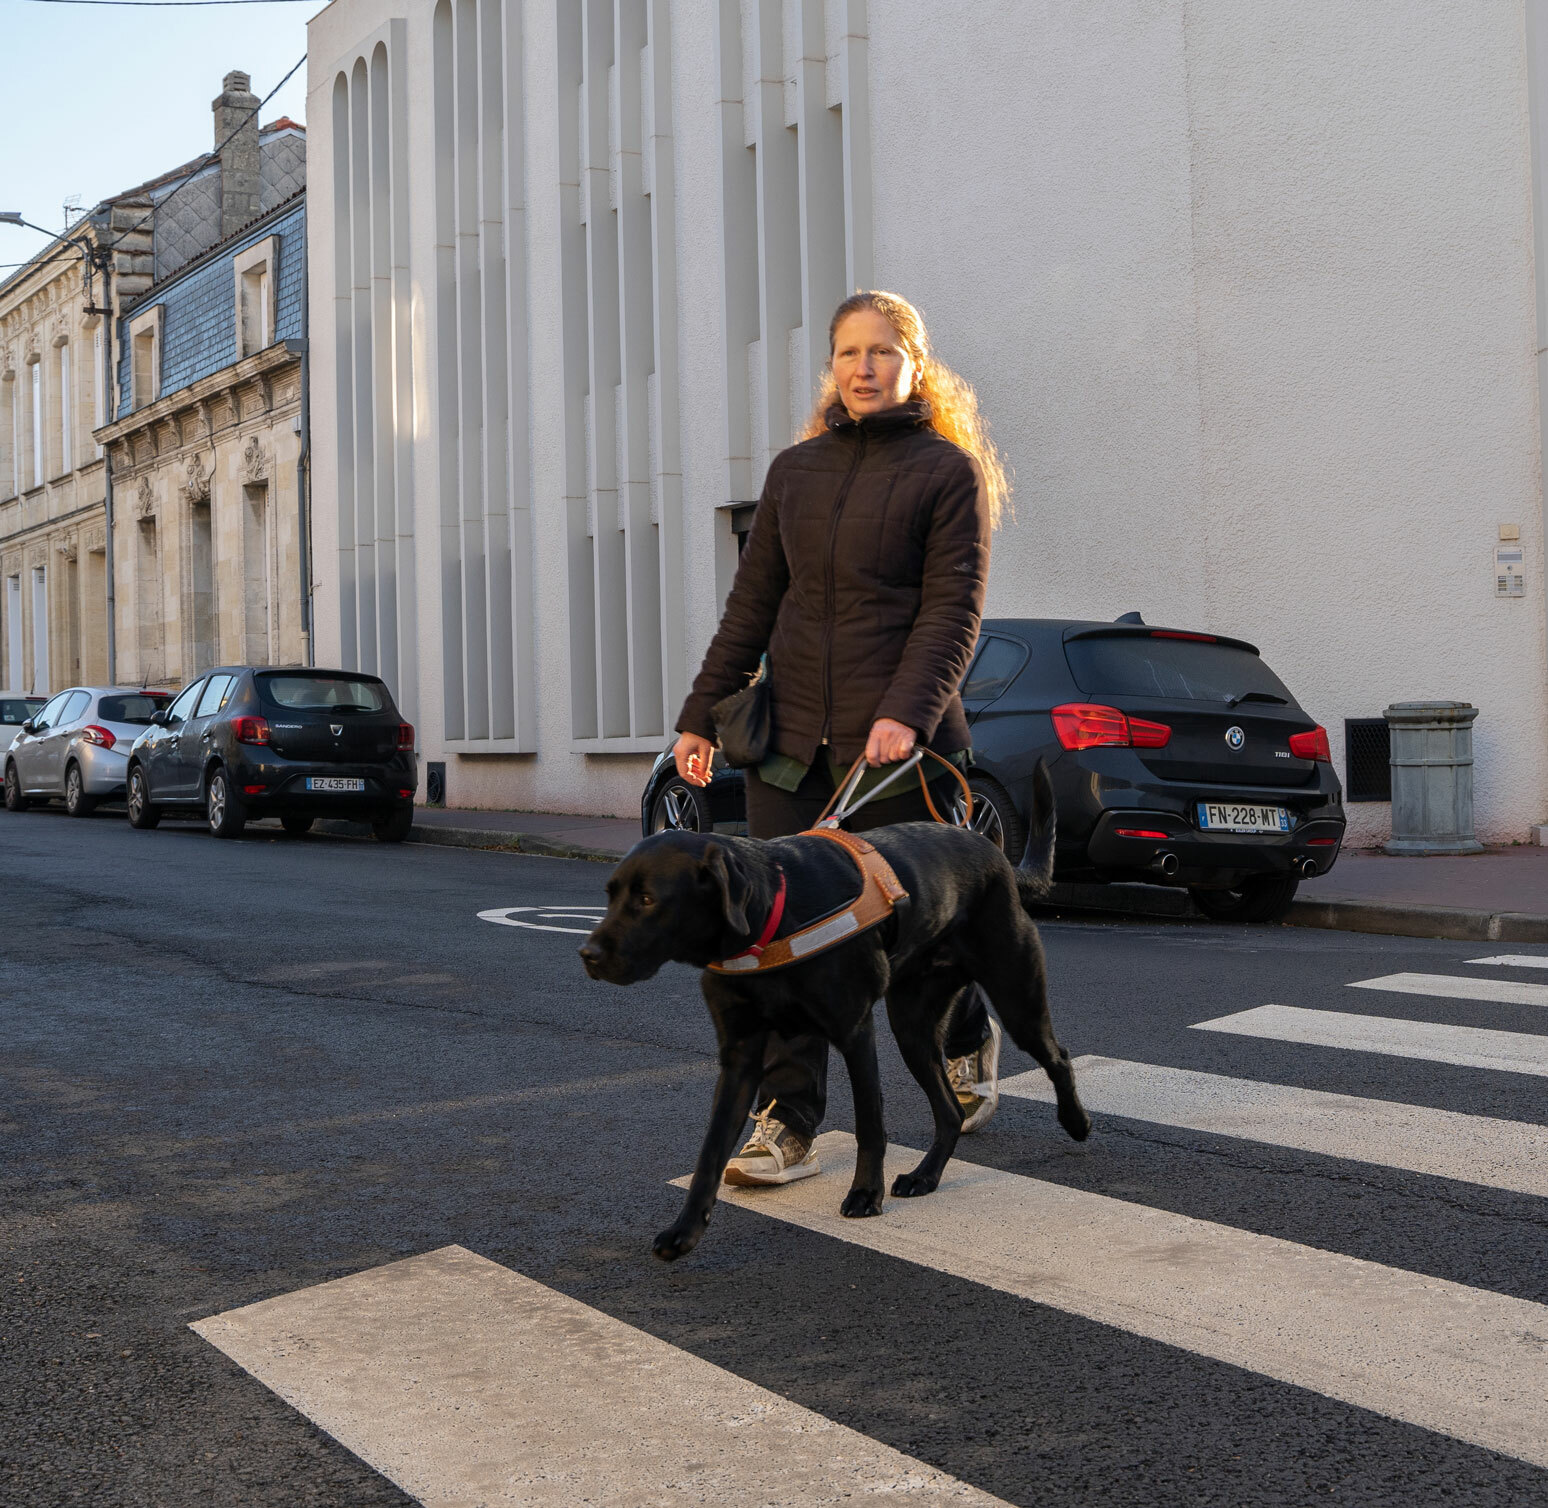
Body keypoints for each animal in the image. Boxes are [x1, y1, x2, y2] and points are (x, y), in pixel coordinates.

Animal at [575, 767, 1095, 1263]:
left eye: (647, 899)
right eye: (610, 894)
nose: (588, 955)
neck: (768, 923)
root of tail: (996, 854)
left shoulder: (854, 1032)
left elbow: (869, 1125)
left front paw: (865, 1193)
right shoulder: (739, 1058)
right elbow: (710, 1151)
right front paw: (685, 1230)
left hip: (1015, 995)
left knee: (1057, 1055)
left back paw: (1076, 1121)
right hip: (912, 1028)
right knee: (948, 1111)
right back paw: (924, 1177)